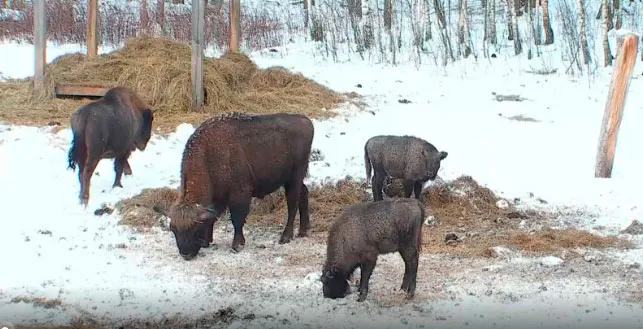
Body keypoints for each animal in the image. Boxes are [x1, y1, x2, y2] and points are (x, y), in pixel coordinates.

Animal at [153, 111, 314, 260]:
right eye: (173, 229)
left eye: (195, 228)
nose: (185, 254)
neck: (208, 156)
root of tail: (306, 121)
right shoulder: (218, 197)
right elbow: (212, 217)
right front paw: (207, 241)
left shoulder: (240, 194)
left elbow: (237, 219)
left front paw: (237, 245)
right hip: (294, 180)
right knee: (304, 193)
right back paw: (303, 231)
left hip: (294, 178)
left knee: (292, 204)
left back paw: (286, 237)